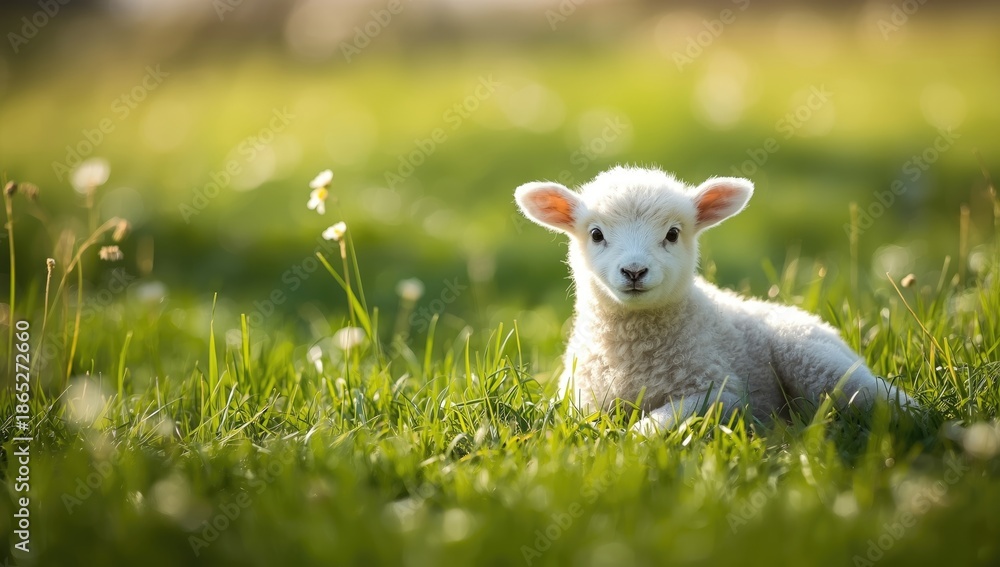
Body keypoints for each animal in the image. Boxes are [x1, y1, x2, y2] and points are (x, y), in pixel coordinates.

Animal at [514, 165, 916, 432]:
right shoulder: (580, 398)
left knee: (880, 397)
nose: (634, 271)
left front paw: (631, 443)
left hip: (819, 362)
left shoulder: (720, 392)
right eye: (596, 234)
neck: (632, 352)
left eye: (673, 234)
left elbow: (660, 421)